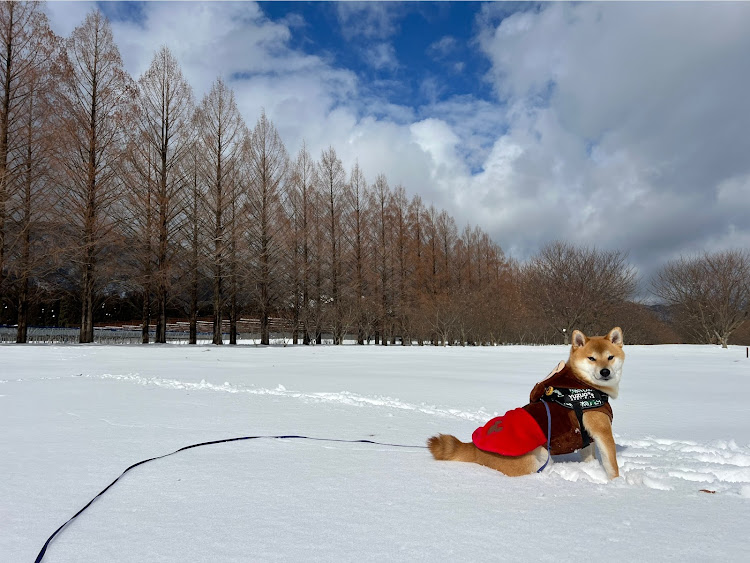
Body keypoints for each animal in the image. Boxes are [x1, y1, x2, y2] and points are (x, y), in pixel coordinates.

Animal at [428, 328, 628, 482]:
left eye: (610, 357)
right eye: (591, 358)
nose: (605, 372)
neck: (580, 384)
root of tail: (476, 449)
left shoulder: (587, 436)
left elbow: (589, 457)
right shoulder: (601, 430)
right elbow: (611, 463)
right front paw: (616, 482)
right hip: (538, 455)